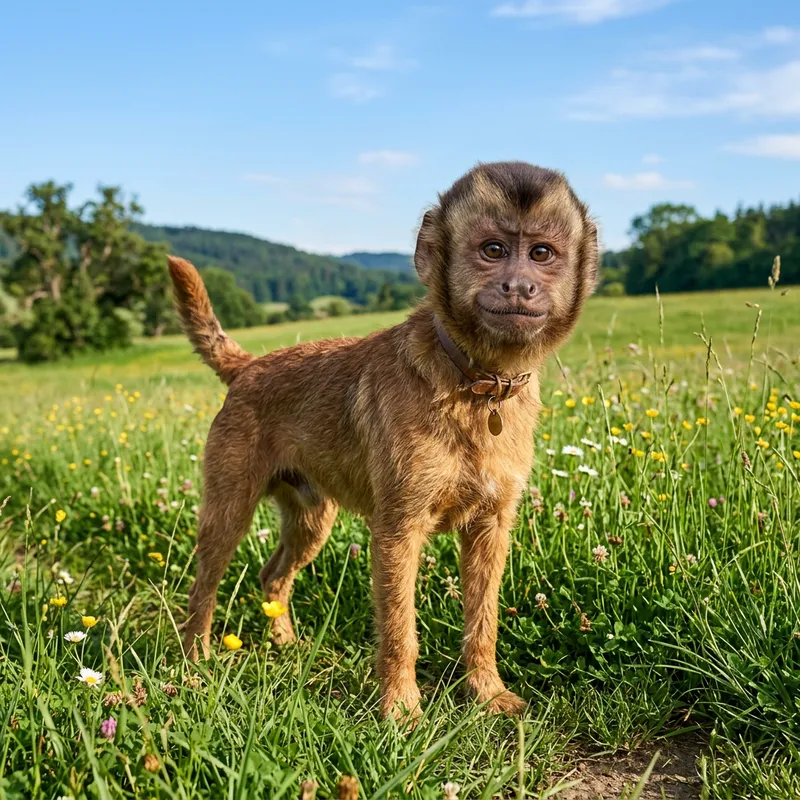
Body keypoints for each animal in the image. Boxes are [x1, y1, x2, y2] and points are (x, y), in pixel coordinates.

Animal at [168, 160, 598, 720]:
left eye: (542, 253)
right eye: (493, 250)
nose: (519, 286)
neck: (477, 384)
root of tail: (247, 366)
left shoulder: (491, 528)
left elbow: (482, 622)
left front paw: (486, 692)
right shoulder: (398, 530)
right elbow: (399, 628)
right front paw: (401, 708)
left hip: (311, 521)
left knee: (272, 576)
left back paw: (285, 643)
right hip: (228, 512)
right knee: (204, 587)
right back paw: (195, 658)